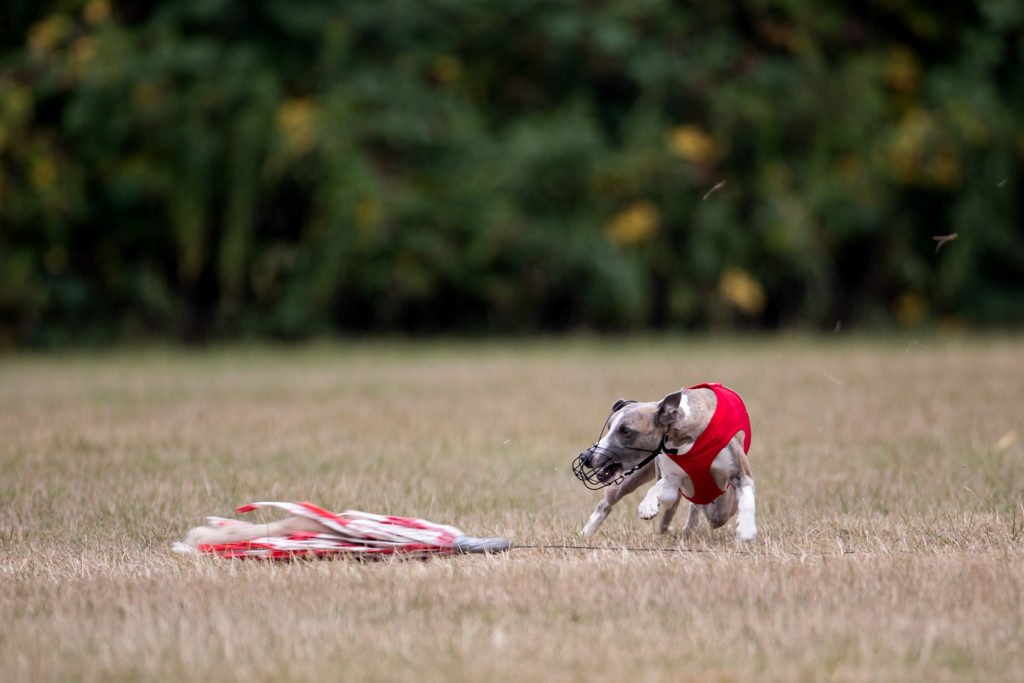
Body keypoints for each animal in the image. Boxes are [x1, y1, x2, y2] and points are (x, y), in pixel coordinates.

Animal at [573, 385, 757, 540]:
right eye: (609, 427)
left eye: (626, 431)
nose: (586, 457)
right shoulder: (670, 476)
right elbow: (662, 489)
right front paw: (648, 505)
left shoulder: (740, 474)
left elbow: (745, 495)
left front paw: (746, 529)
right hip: (633, 476)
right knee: (607, 502)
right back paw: (585, 533)